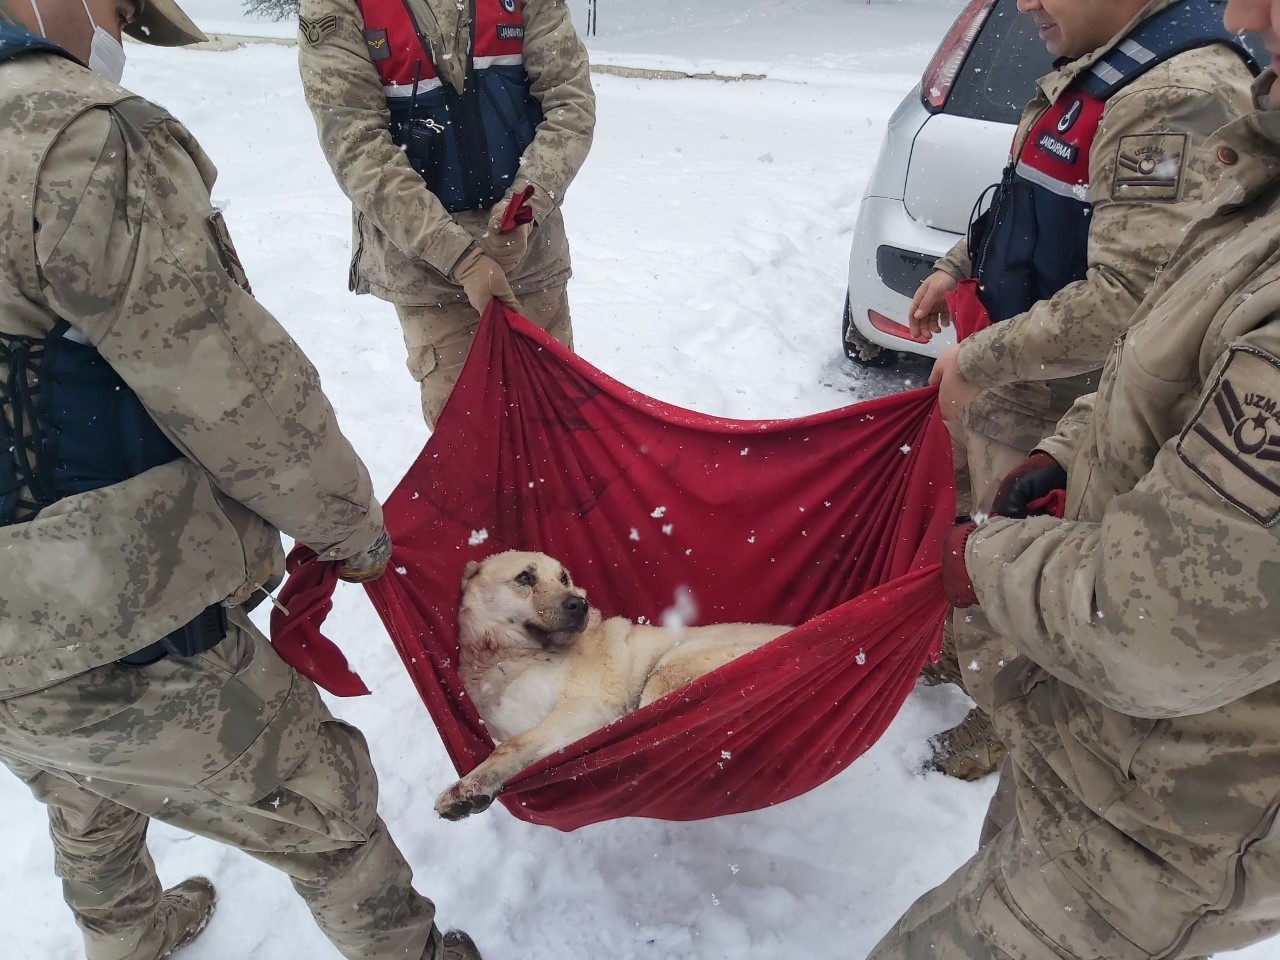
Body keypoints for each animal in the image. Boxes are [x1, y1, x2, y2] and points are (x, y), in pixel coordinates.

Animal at [432, 547, 788, 819]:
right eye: (525, 578)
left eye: (563, 578)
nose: (579, 604)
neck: (509, 656)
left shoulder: (587, 707)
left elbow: (513, 745)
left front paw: (468, 786)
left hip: (667, 671)